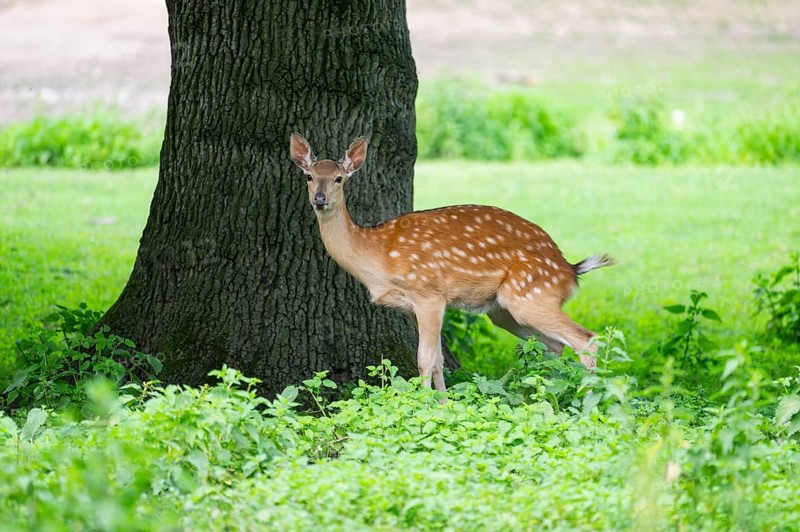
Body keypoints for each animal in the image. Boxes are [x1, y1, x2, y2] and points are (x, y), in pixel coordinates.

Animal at [290, 133, 615, 393]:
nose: (320, 198)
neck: (378, 255)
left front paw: (421, 407)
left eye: (339, 178)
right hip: (503, 310)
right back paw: (544, 397)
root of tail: (569, 269)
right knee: (554, 345)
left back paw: (585, 403)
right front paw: (443, 405)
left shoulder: (429, 293)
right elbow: (438, 360)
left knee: (586, 340)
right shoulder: (412, 306)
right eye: (309, 176)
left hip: (532, 294)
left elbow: (424, 359)